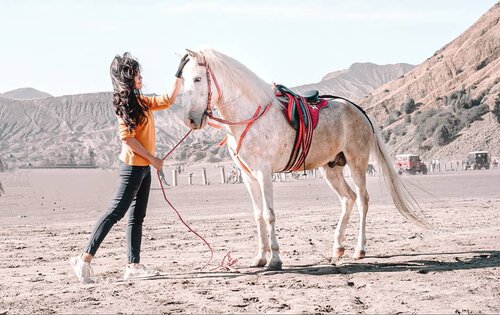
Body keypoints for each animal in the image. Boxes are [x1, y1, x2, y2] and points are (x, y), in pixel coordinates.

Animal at [181, 48, 430, 270]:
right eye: (183, 80)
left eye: (198, 78)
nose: (191, 120)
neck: (249, 115)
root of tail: (359, 110)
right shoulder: (248, 176)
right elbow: (258, 215)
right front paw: (260, 257)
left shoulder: (264, 173)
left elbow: (269, 215)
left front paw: (275, 260)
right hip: (331, 168)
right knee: (347, 198)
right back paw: (338, 246)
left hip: (357, 162)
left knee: (362, 200)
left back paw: (360, 249)